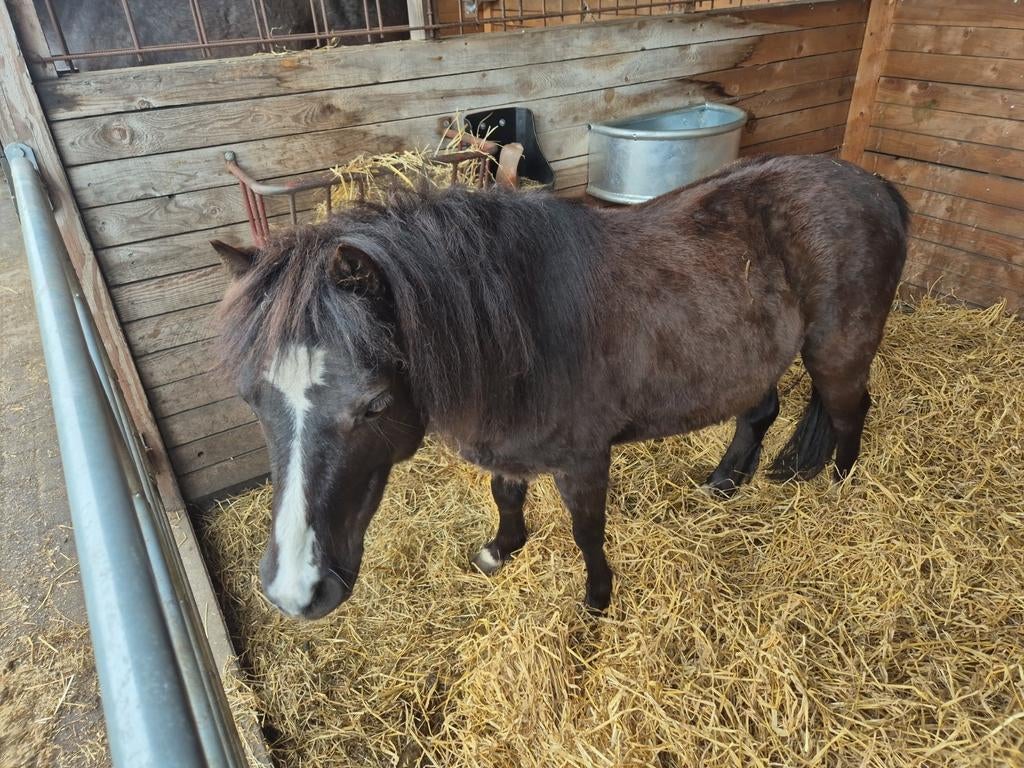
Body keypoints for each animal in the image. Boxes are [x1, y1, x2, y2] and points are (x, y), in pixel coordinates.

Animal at [211, 153, 909, 620]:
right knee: (760, 409)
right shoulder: (507, 447)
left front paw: (597, 602)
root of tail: (874, 186)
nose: (296, 592)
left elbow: (587, 533)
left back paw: (839, 490)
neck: (524, 330)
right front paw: (501, 550)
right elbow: (506, 494)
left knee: (850, 412)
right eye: (252, 400)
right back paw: (726, 480)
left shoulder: (584, 461)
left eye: (375, 404)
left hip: (837, 352)